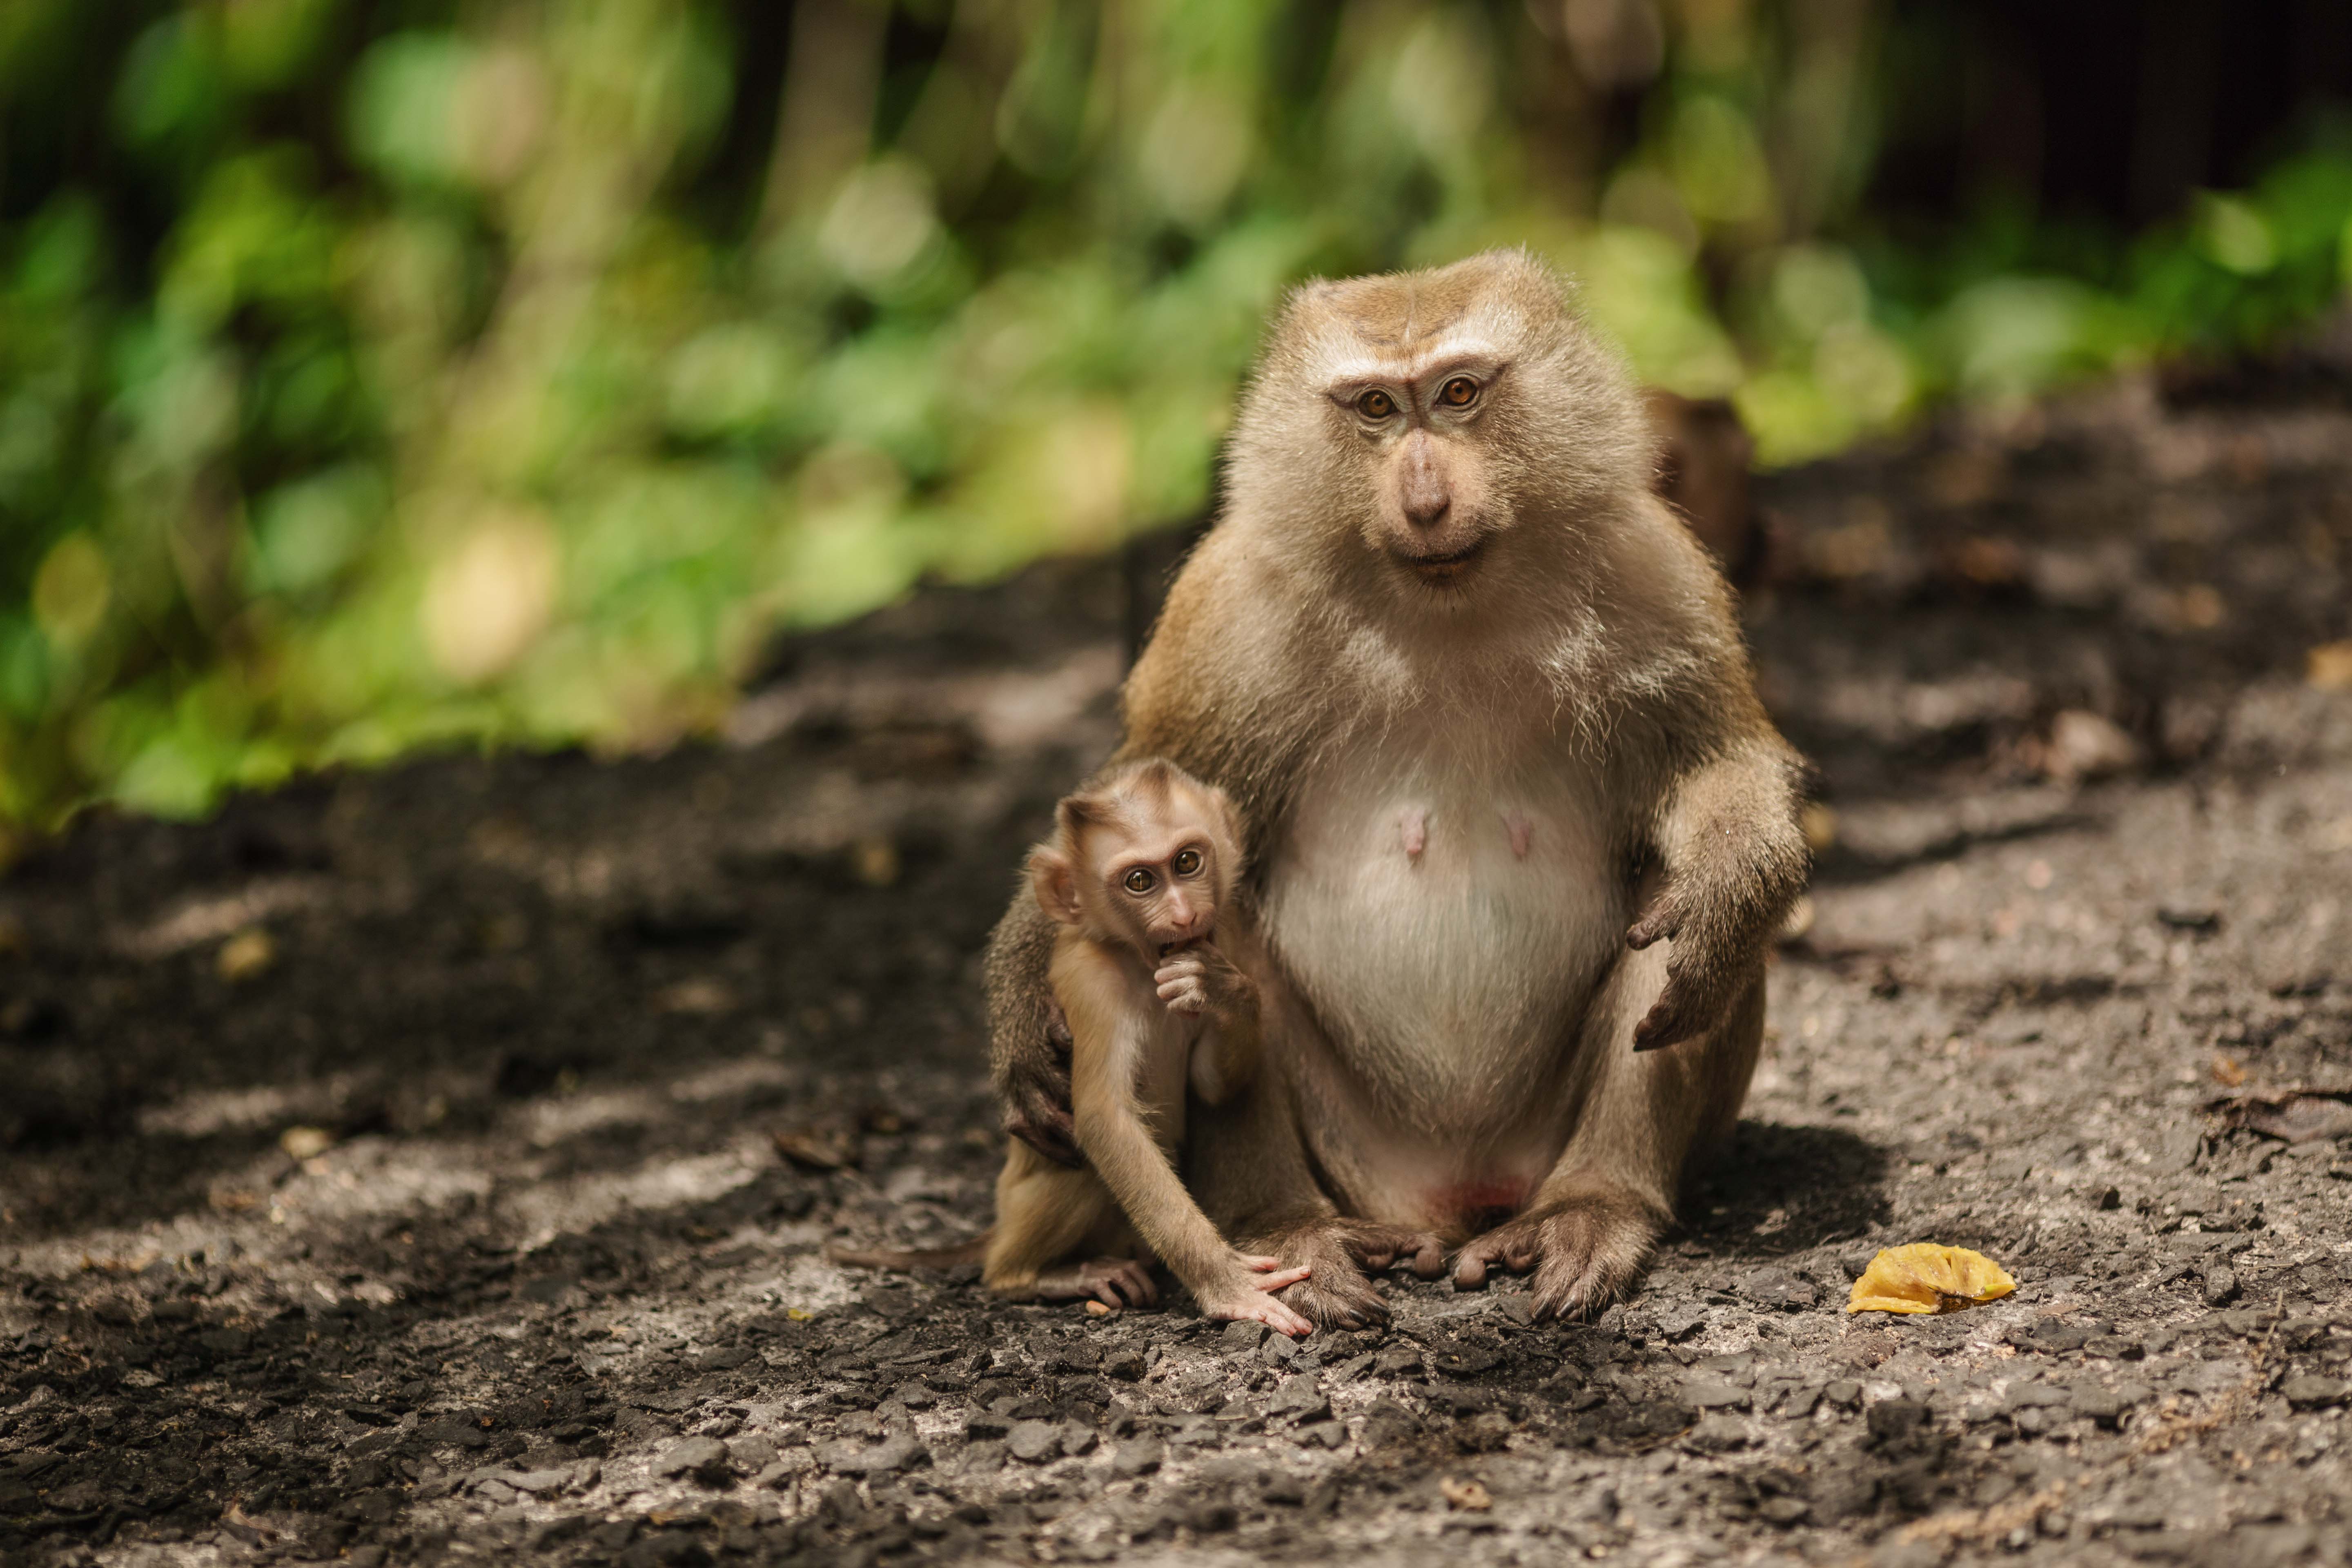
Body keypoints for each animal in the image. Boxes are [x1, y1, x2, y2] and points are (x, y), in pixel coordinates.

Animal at [833, 762, 1317, 1335]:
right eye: (1139, 881)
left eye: (1187, 862)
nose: (1182, 916)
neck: (1137, 961)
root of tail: (999, 1230)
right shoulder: (1093, 987)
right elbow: (1105, 1121)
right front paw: (1226, 1284)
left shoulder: (1210, 951)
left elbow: (1212, 1086)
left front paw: (1224, 988)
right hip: (1025, 1210)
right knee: (1081, 1168)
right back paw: (1036, 1276)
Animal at [983, 252, 1806, 1335]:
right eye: (1374, 406)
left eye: (1457, 394)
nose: (1421, 500)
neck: (1445, 599)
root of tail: (1450, 1200)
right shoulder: (1227, 608)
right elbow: (1143, 787)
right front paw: (1021, 1004)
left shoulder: (1651, 573)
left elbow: (1719, 766)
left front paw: (1733, 882)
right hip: (1353, 1150)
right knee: (1219, 925)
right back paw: (1291, 1229)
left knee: (1665, 919)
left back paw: (1596, 1204)